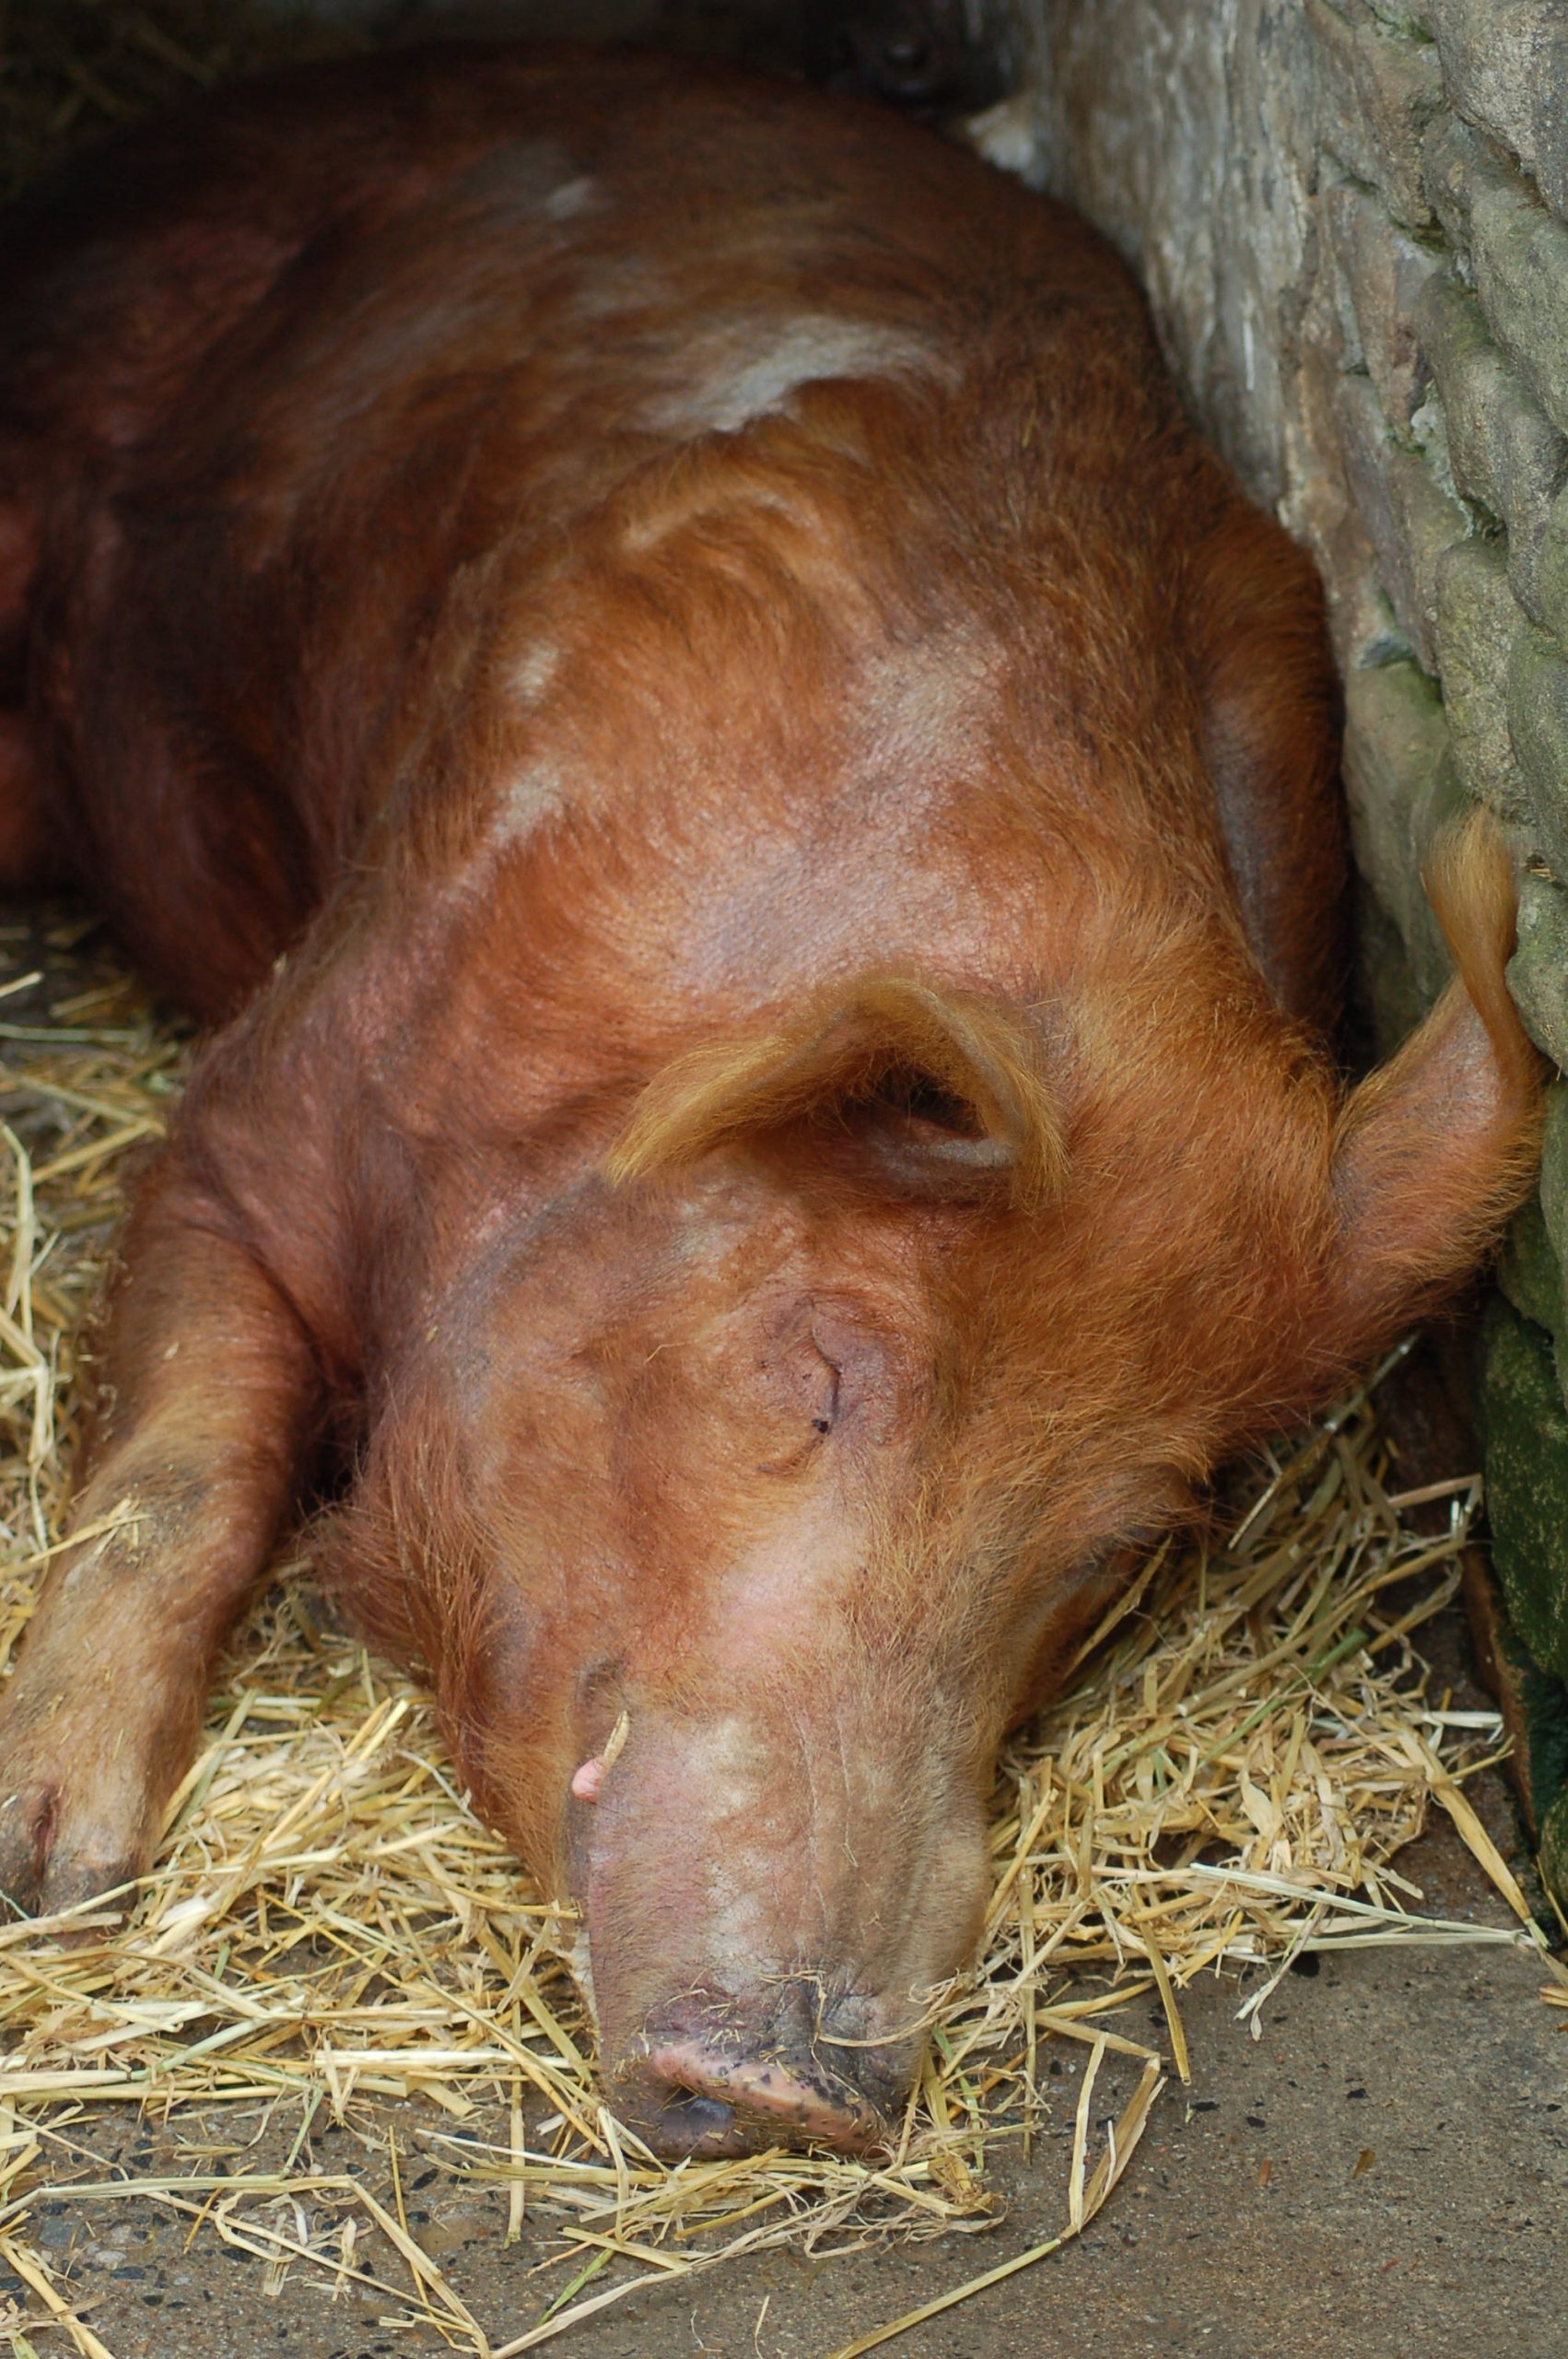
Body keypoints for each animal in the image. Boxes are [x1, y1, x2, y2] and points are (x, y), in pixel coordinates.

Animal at [0, 42, 1543, 2159]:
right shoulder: (262, 1098)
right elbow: (184, 1459)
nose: (800, 2079)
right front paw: (52, 1874)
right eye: (817, 1370)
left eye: (1114, 1545)